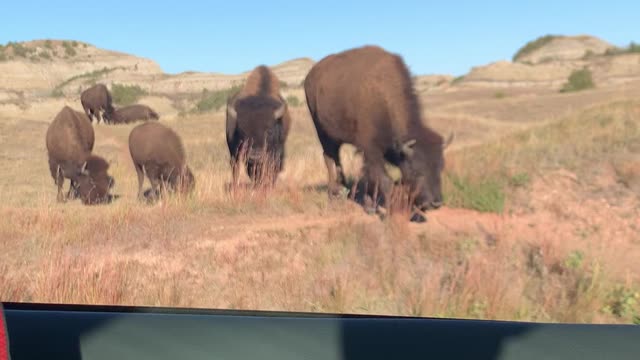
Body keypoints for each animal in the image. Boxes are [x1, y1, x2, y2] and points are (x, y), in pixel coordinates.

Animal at [302, 45, 452, 219]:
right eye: (417, 171)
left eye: (440, 167)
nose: (436, 203)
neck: (383, 96)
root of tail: (310, 76)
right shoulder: (371, 150)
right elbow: (385, 181)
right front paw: (387, 213)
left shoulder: (370, 153)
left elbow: (370, 177)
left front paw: (370, 206)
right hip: (323, 132)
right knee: (329, 158)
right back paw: (333, 195)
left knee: (337, 158)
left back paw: (345, 189)